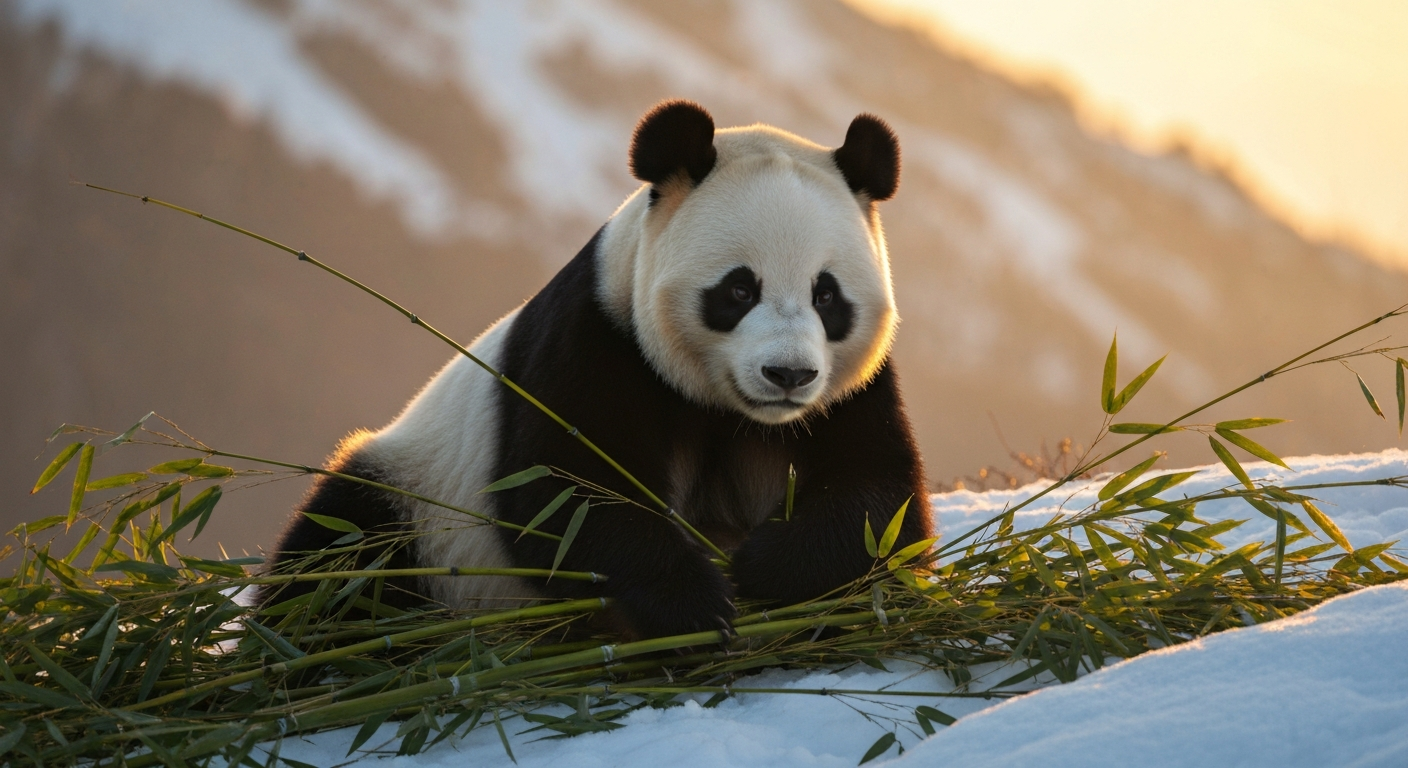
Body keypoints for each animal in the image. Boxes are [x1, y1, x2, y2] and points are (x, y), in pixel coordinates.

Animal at [265, 100, 932, 640]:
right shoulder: (597, 341)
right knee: (340, 562)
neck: (728, 410)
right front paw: (695, 605)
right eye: (739, 290)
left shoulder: (852, 394)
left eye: (827, 295)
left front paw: (763, 566)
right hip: (419, 509)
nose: (787, 374)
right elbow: (570, 496)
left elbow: (880, 502)